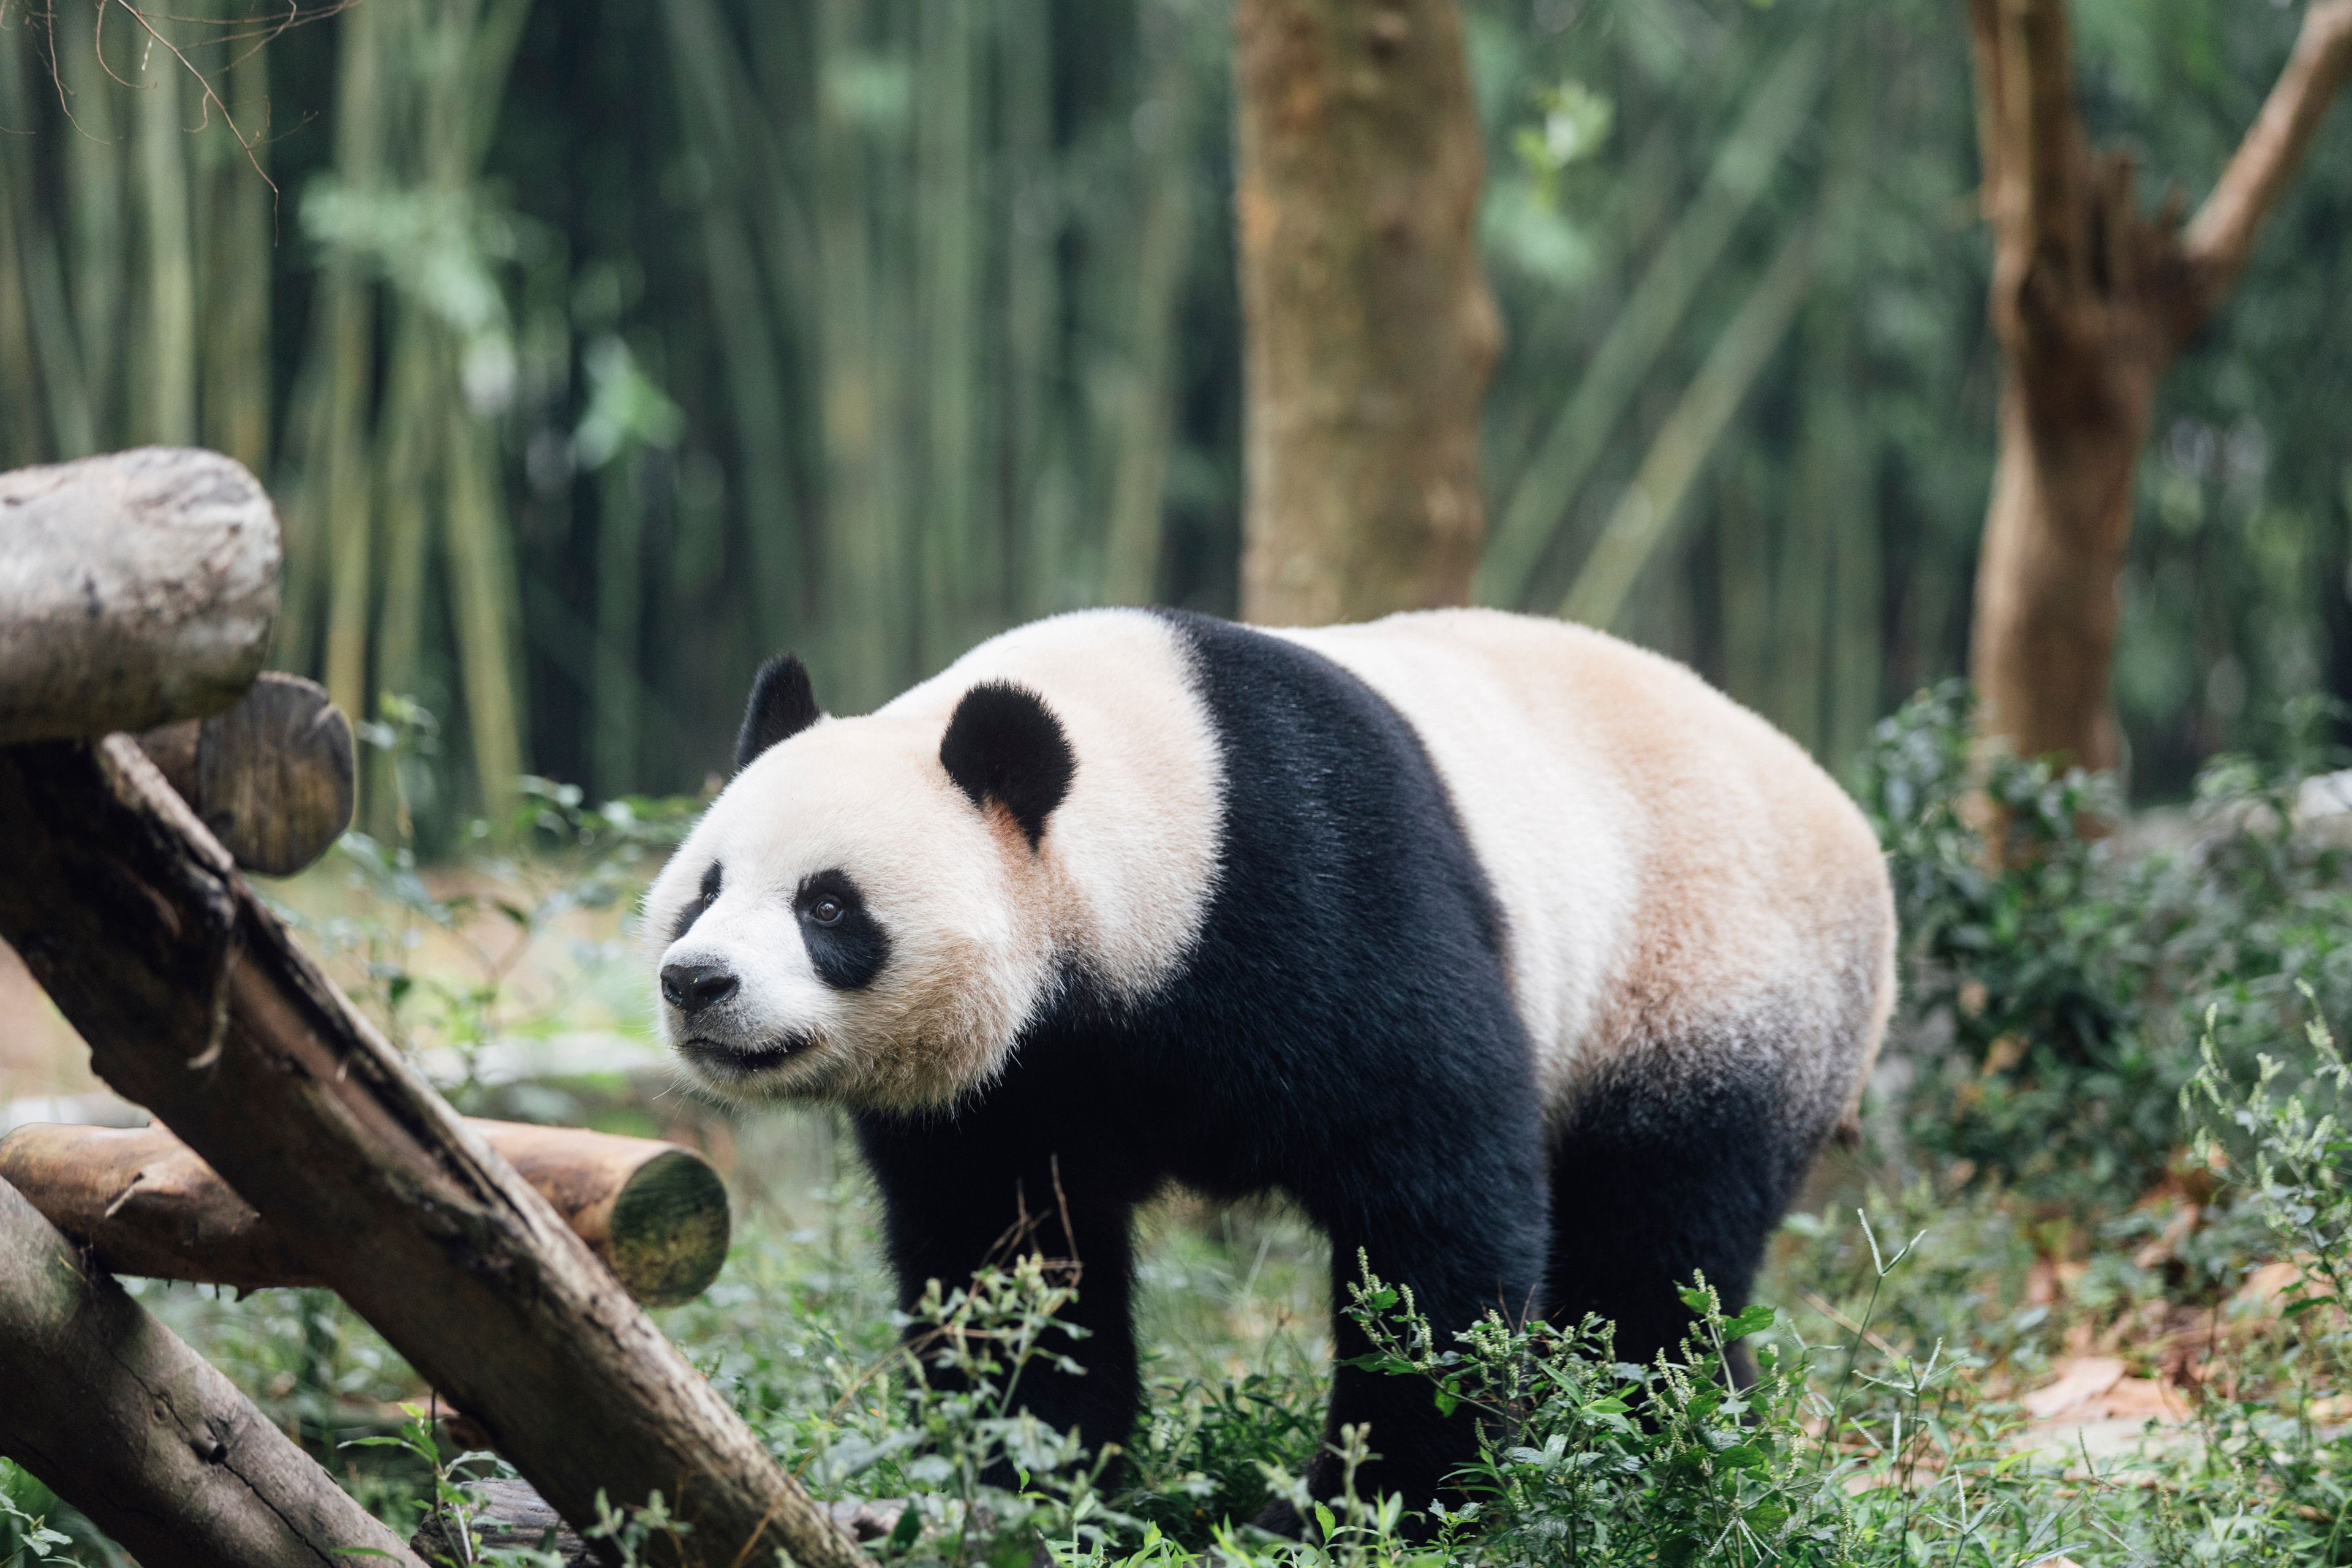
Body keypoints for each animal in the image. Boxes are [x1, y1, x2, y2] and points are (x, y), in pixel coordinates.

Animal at [644, 606, 1891, 1523]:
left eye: (828, 906)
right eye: (705, 888)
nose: (696, 981)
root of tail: (1847, 818)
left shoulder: (1322, 889)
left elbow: (1437, 1210)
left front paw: (1374, 1504)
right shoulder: (1013, 1089)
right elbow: (1008, 1257)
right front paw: (1037, 1480)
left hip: (1709, 981)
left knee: (1656, 1245)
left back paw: (1653, 1444)